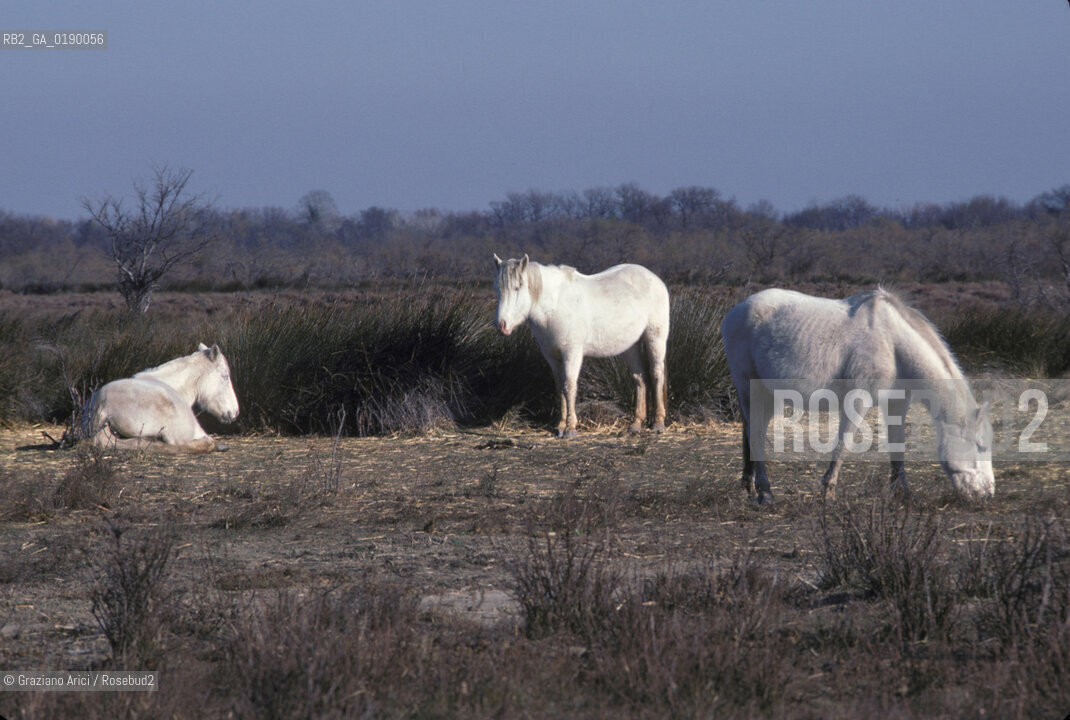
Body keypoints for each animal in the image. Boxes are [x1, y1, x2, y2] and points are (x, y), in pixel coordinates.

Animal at [494, 254, 670, 439]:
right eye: (497, 288)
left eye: (517, 287)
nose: (501, 325)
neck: (555, 304)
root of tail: (654, 278)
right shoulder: (552, 356)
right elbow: (560, 387)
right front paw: (560, 426)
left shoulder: (572, 353)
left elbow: (569, 386)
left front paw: (570, 428)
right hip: (630, 347)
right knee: (640, 377)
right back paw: (636, 423)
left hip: (655, 338)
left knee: (656, 373)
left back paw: (658, 422)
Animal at [720, 287, 993, 504]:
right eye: (980, 446)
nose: (988, 493)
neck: (893, 343)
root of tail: (734, 313)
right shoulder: (858, 400)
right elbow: (843, 445)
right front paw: (828, 492)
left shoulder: (897, 403)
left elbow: (897, 446)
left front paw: (902, 492)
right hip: (752, 390)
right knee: (756, 434)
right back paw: (765, 492)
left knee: (749, 432)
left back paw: (749, 485)